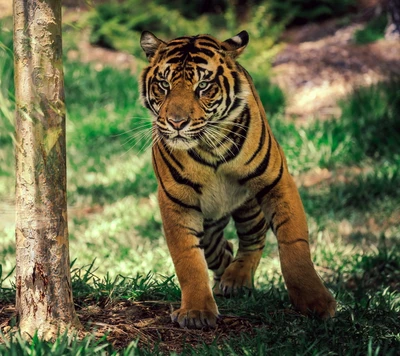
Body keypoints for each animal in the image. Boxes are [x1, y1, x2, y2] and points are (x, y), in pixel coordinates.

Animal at [139, 29, 336, 328]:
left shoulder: (276, 181)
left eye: (203, 86)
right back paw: (224, 278)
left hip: (248, 206)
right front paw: (196, 311)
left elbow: (294, 244)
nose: (176, 123)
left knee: (253, 239)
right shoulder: (176, 200)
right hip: (211, 220)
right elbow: (187, 258)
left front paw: (316, 302)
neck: (209, 147)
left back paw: (236, 279)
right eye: (164, 84)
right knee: (220, 247)